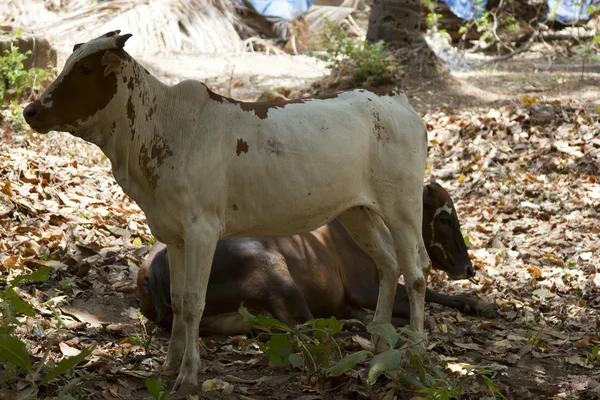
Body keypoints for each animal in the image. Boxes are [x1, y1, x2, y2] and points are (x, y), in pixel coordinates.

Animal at [137, 183, 496, 332]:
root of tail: (154, 265)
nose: (468, 267)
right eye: (444, 218)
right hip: (274, 273)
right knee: (311, 326)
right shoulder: (364, 286)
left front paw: (479, 304)